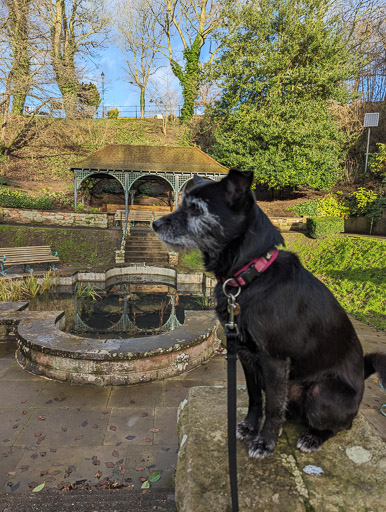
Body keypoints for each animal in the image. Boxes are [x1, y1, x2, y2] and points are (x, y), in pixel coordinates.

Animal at [152, 170, 384, 458]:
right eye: (183, 203)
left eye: (196, 209)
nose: (154, 223)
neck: (250, 275)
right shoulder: (246, 354)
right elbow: (255, 397)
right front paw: (250, 426)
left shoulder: (274, 360)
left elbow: (272, 407)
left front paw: (265, 442)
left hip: (320, 392)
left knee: (339, 426)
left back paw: (313, 438)